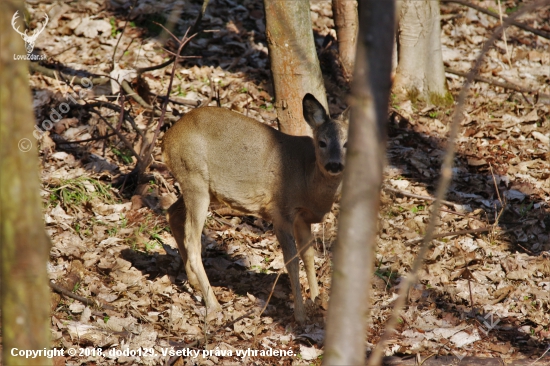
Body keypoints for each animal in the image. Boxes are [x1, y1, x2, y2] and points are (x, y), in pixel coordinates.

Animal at [162, 94, 350, 324]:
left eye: (346, 143)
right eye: (322, 142)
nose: (335, 164)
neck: (308, 179)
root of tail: (166, 139)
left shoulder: (302, 217)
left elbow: (308, 255)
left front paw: (315, 299)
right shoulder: (280, 211)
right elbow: (292, 261)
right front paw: (300, 314)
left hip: (204, 188)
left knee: (172, 213)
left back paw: (194, 282)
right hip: (193, 176)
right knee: (192, 240)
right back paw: (213, 303)